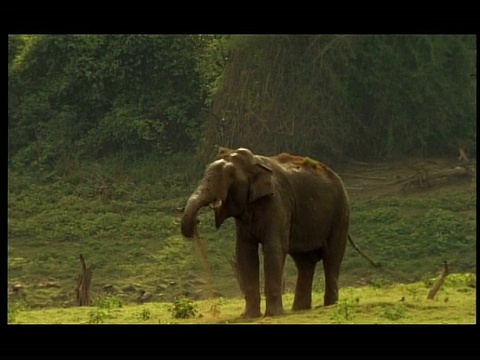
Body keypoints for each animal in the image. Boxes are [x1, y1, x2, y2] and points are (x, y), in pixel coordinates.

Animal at [182, 147, 376, 318]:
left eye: (229, 176)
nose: (197, 221)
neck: (255, 162)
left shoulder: (278, 202)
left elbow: (274, 249)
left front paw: (273, 315)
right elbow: (245, 253)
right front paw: (249, 316)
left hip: (340, 214)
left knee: (332, 257)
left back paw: (330, 304)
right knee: (305, 262)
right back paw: (299, 309)